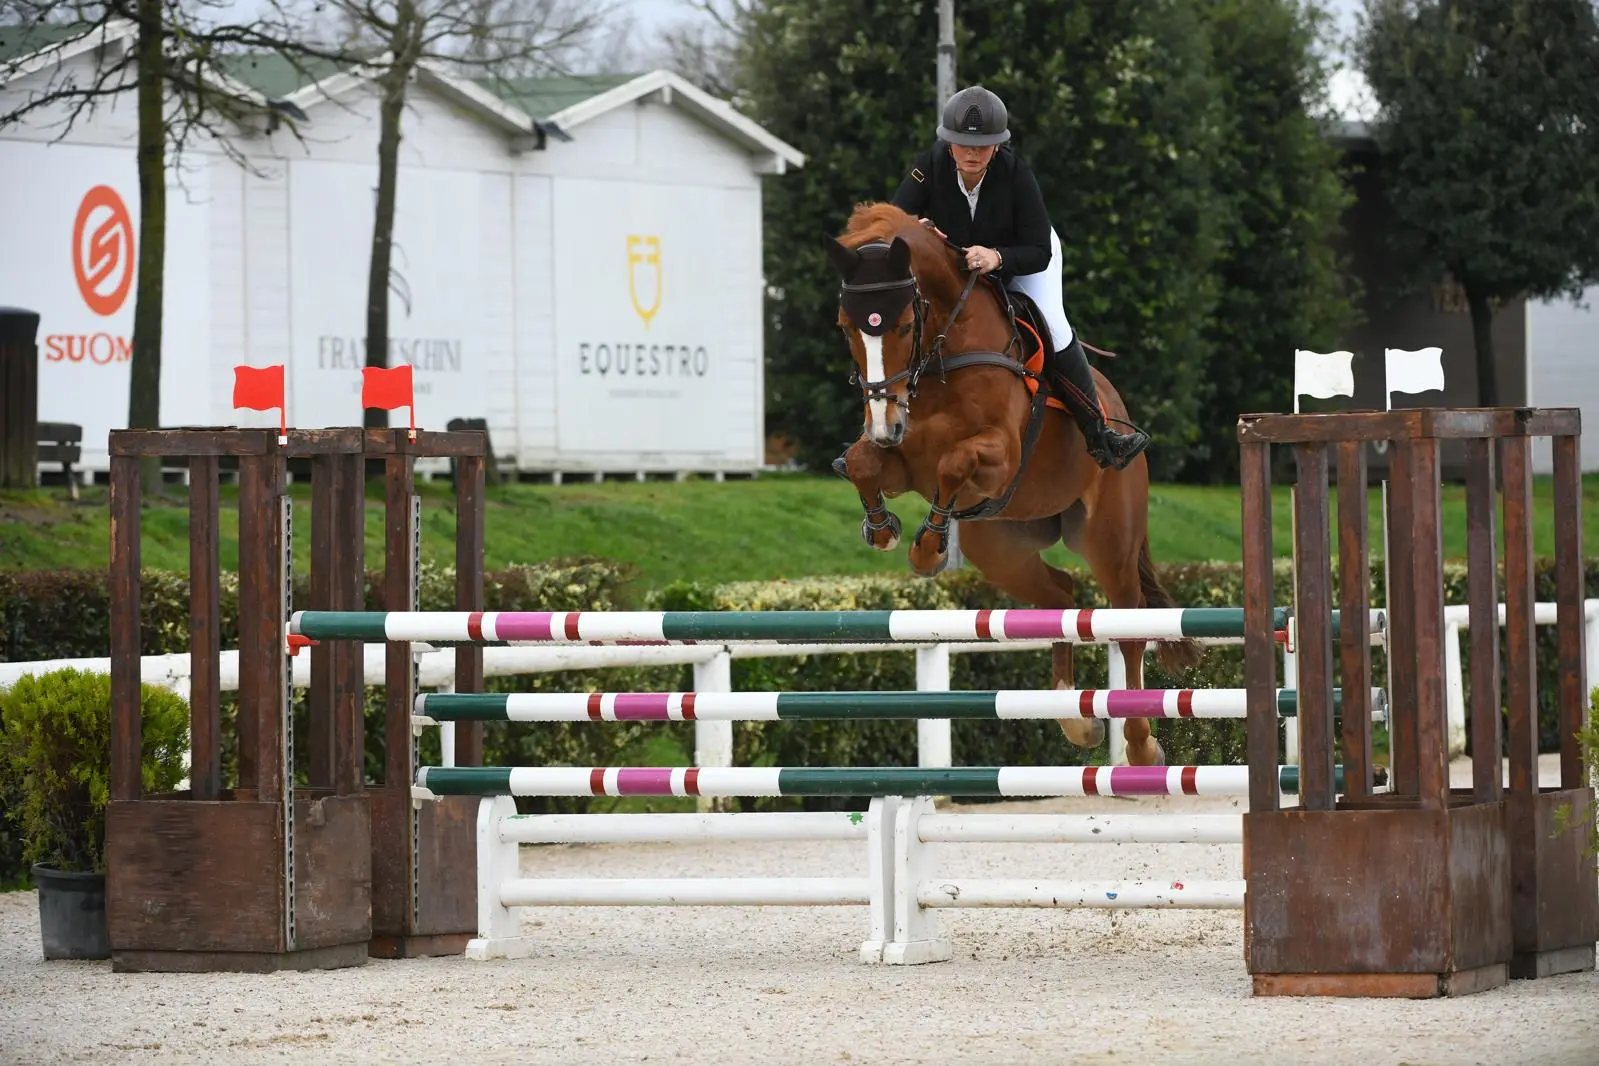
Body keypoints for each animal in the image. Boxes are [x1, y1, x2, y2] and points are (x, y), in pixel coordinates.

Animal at [824, 201, 1204, 766]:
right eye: (846, 327)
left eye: (905, 325)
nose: (885, 424)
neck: (941, 354)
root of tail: (1115, 405)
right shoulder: (903, 462)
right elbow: (862, 461)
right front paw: (884, 528)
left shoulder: (998, 456)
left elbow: (954, 462)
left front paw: (927, 549)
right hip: (999, 546)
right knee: (1061, 596)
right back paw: (1074, 717)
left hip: (1108, 538)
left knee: (1129, 623)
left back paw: (1139, 746)